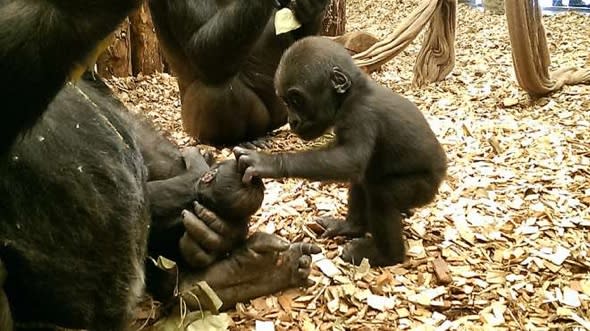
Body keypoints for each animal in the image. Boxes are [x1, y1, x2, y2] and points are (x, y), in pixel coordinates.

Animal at [148, 0, 330, 147]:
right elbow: (200, 50)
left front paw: (310, 8)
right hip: (193, 126)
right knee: (219, 92)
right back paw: (239, 141)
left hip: (284, 114)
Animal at [234, 35, 446, 268]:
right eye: (286, 102)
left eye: (297, 100)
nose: (292, 121)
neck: (354, 91)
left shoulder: (359, 113)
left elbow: (350, 159)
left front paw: (269, 163)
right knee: (365, 180)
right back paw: (351, 226)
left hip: (423, 187)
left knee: (382, 193)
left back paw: (386, 256)